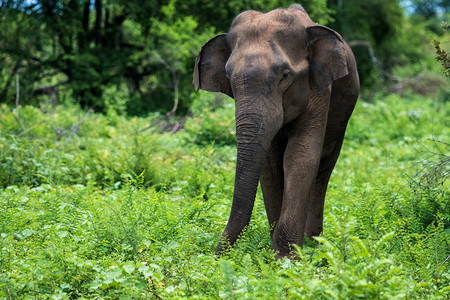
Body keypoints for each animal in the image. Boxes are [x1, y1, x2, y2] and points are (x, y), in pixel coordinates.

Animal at [192, 3, 358, 258]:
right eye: (229, 77)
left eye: (285, 76)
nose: (216, 256)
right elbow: (269, 167)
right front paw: (277, 255)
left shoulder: (320, 92)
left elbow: (300, 157)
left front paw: (286, 259)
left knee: (324, 168)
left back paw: (314, 243)